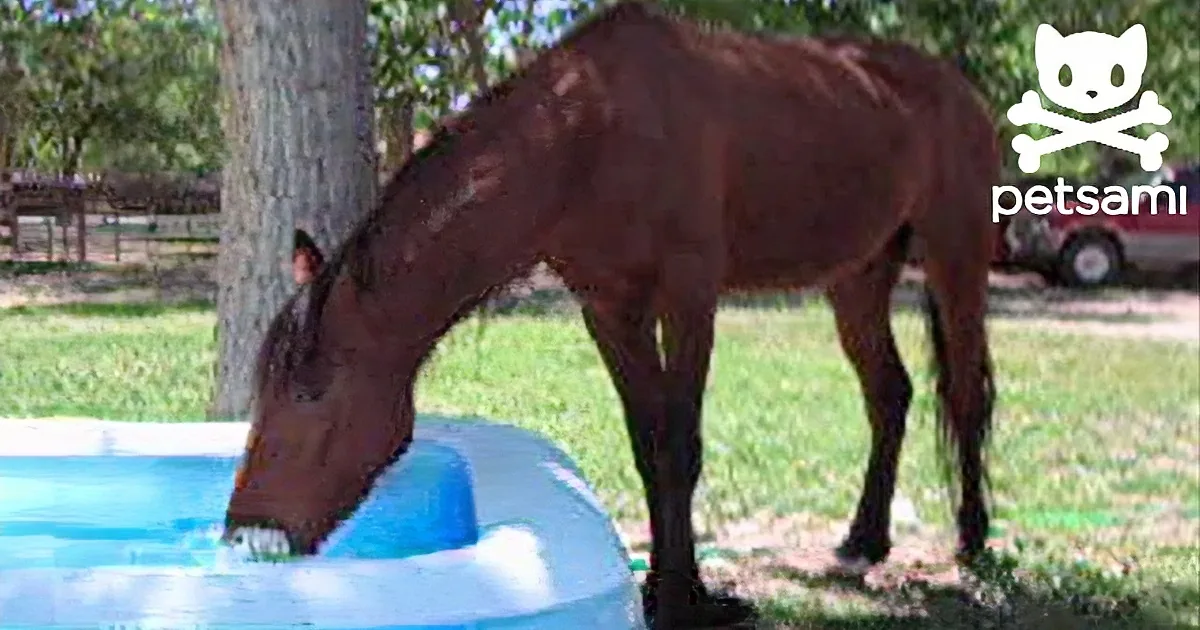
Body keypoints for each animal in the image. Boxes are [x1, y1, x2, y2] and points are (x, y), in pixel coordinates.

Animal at [224, 2, 1000, 627]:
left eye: (313, 391)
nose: (245, 531)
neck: (589, 134)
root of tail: (955, 85)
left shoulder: (688, 298)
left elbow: (679, 447)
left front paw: (688, 601)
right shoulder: (609, 311)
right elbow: (648, 446)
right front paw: (665, 588)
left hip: (956, 256)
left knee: (965, 392)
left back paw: (972, 537)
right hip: (857, 277)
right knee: (889, 393)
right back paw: (865, 539)